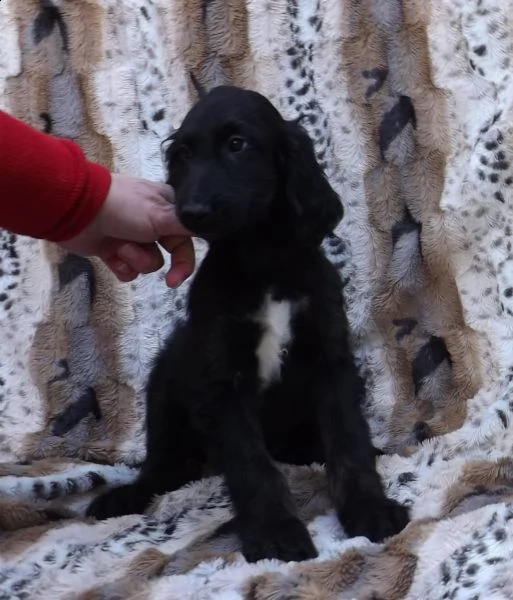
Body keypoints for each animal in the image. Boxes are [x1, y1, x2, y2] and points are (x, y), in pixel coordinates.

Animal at [88, 85, 408, 564]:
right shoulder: (222, 382)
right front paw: (276, 533)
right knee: (162, 467)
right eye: (183, 154)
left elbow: (349, 441)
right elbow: (251, 464)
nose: (191, 211)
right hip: (164, 386)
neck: (263, 263)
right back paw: (126, 496)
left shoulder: (331, 359)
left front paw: (370, 509)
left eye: (237, 144)